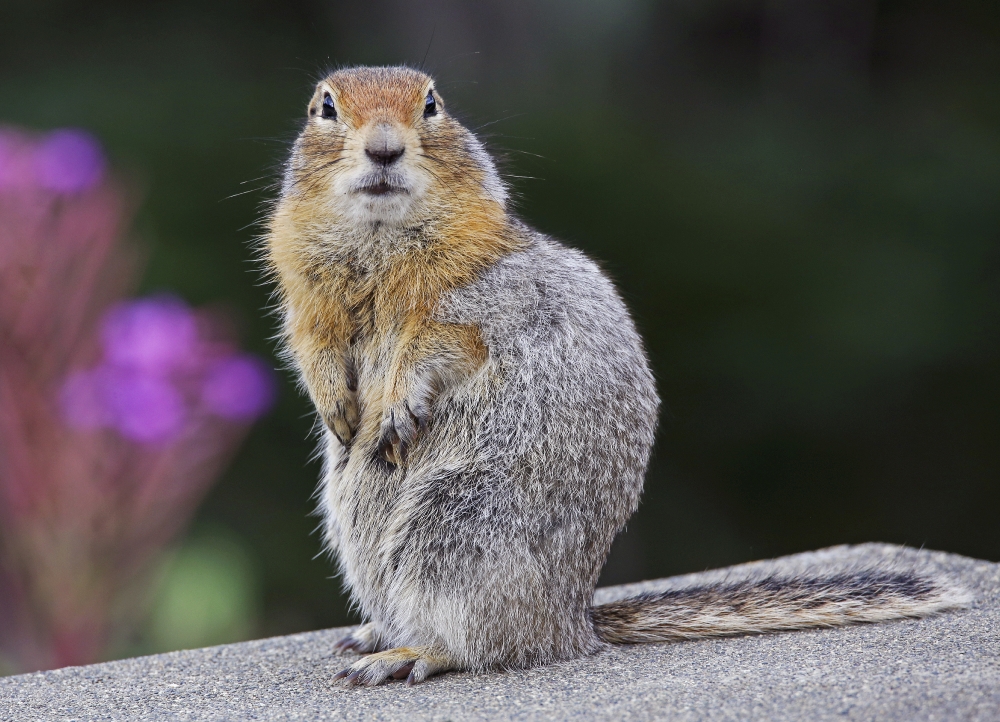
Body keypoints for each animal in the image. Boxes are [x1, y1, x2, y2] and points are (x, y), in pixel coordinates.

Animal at [262, 64, 964, 684]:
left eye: (432, 103)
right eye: (325, 106)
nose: (384, 147)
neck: (377, 247)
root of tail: (574, 622)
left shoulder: (485, 297)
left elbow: (439, 343)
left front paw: (394, 403)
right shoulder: (308, 304)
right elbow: (310, 345)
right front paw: (335, 405)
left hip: (458, 526)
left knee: (483, 641)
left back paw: (412, 652)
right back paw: (374, 632)